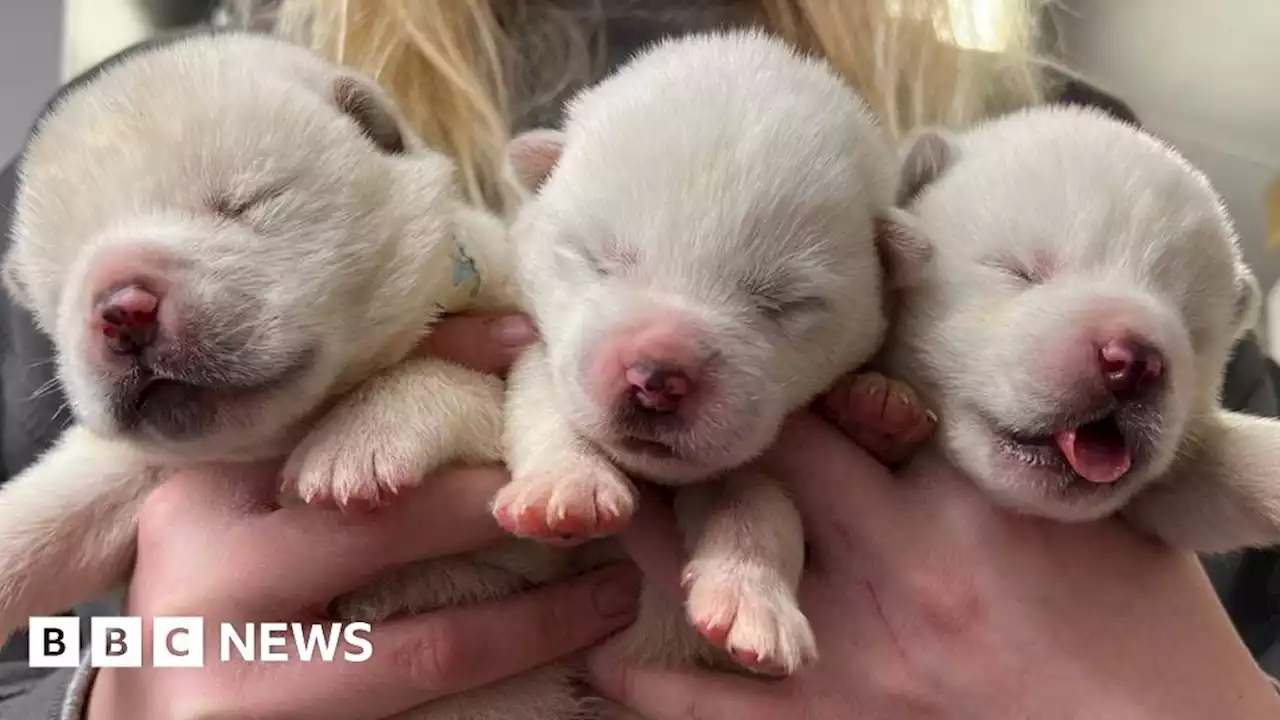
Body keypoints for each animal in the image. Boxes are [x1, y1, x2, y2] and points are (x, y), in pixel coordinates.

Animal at [0, 32, 588, 717]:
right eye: (63, 279)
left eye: (243, 204)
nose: (122, 309)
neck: (285, 430)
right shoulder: (140, 469)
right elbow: (56, 507)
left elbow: (465, 381)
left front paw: (358, 442)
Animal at [486, 29, 931, 676]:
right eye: (599, 257)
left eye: (784, 301)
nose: (657, 377)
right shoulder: (544, 353)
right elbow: (541, 401)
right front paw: (567, 487)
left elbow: (762, 504)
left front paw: (753, 601)